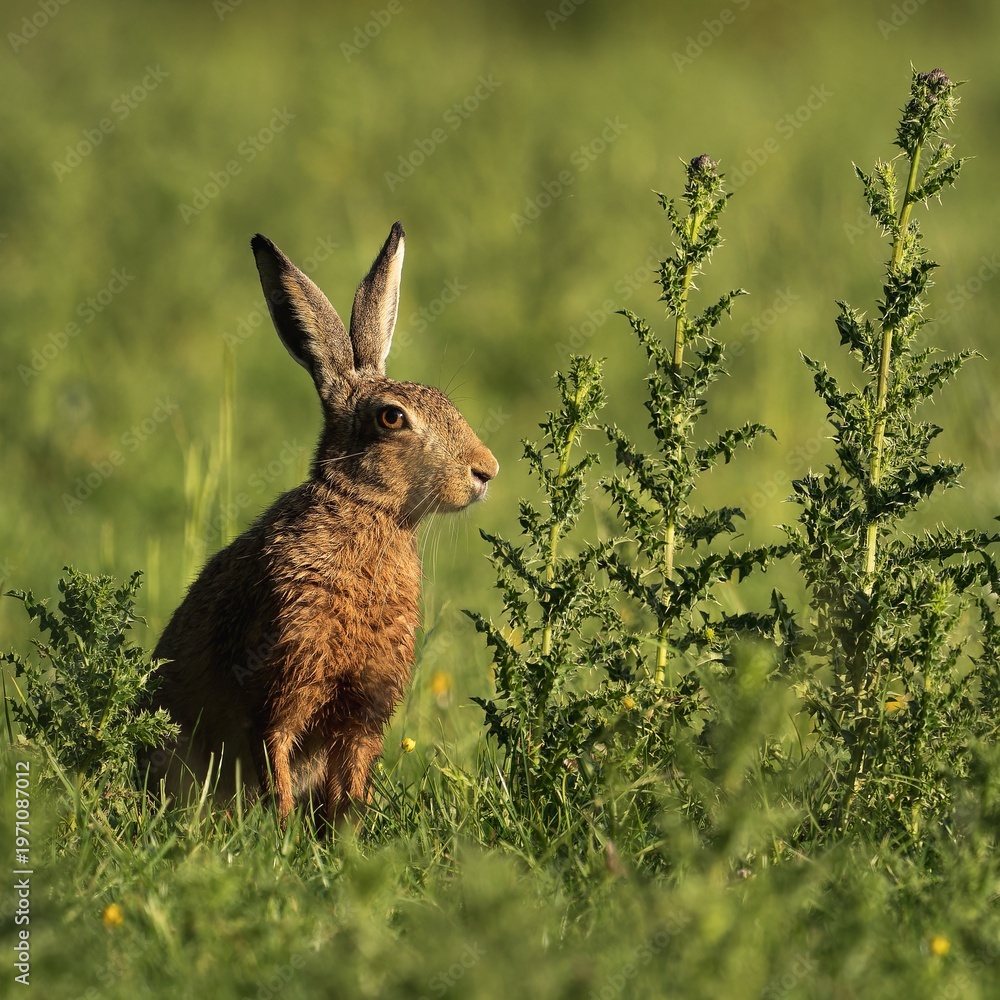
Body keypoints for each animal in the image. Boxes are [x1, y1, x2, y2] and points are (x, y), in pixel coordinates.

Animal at [144, 222, 498, 826]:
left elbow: (351, 776)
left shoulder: (363, 710)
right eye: (391, 418)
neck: (368, 513)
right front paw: (284, 830)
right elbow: (276, 756)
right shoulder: (281, 683)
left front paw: (349, 832)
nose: (486, 470)